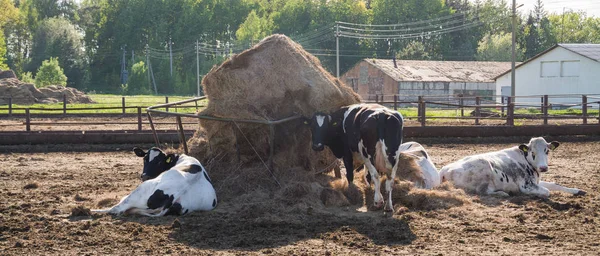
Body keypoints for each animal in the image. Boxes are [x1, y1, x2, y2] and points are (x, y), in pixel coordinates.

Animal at [308, 103, 438, 211]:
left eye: (326, 127)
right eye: (312, 126)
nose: (317, 146)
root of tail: (382, 114)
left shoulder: (347, 154)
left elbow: (350, 174)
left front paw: (352, 193)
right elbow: (367, 175)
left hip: (369, 154)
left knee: (376, 175)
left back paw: (378, 202)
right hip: (393, 155)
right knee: (390, 179)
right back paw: (388, 205)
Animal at [438, 137, 584, 197]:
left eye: (547, 151)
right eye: (533, 152)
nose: (543, 168)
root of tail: (444, 170)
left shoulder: (536, 181)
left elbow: (555, 185)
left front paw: (577, 191)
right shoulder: (526, 185)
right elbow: (547, 191)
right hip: (484, 168)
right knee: (483, 191)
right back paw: (503, 193)